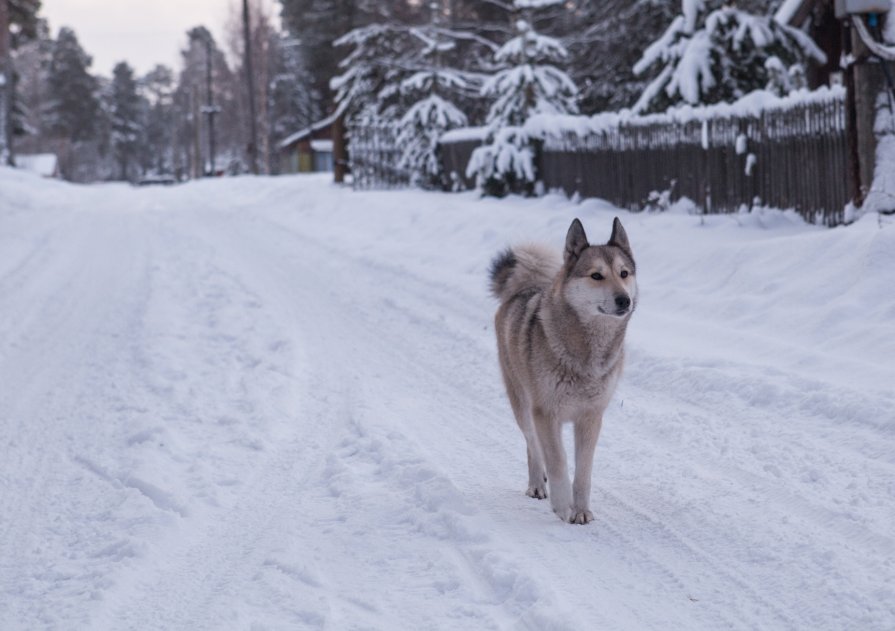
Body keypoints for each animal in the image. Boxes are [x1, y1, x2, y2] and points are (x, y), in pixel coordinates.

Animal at [490, 217, 636, 524]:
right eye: (596, 276)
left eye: (624, 273)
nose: (624, 300)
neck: (585, 352)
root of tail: (523, 287)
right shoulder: (546, 413)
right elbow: (558, 463)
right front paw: (561, 506)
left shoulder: (591, 418)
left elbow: (583, 473)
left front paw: (581, 511)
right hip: (522, 406)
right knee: (533, 446)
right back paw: (536, 485)